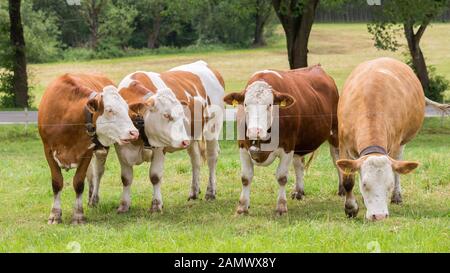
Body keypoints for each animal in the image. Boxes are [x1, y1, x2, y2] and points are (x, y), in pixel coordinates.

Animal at [39, 73, 140, 223]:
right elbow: (57, 183)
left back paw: (94, 199)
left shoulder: (87, 151)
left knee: (97, 173)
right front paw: (55, 215)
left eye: (127, 109)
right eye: (109, 110)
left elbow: (79, 183)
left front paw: (78, 215)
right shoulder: (48, 151)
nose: (134, 132)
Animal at [87, 60, 224, 211]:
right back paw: (194, 192)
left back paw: (210, 192)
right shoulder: (121, 148)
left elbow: (155, 176)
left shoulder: (159, 148)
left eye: (182, 114)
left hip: (212, 128)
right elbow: (126, 178)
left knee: (212, 158)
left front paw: (156, 205)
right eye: (166, 115)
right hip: (192, 137)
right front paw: (124, 206)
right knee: (195, 160)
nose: (183, 141)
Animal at [225, 66, 342, 215]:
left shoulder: (288, 146)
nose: (254, 131)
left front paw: (281, 206)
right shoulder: (243, 147)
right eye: (245, 104)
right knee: (299, 164)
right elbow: (246, 177)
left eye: (270, 105)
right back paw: (299, 191)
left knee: (337, 159)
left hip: (335, 133)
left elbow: (281, 177)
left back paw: (342, 189)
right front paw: (242, 207)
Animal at [336, 56, 424, 220]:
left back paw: (397, 196)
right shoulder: (343, 142)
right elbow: (348, 180)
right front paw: (351, 208)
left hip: (402, 142)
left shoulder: (395, 142)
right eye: (364, 184)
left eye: (389, 185)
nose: (379, 216)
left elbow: (395, 170)